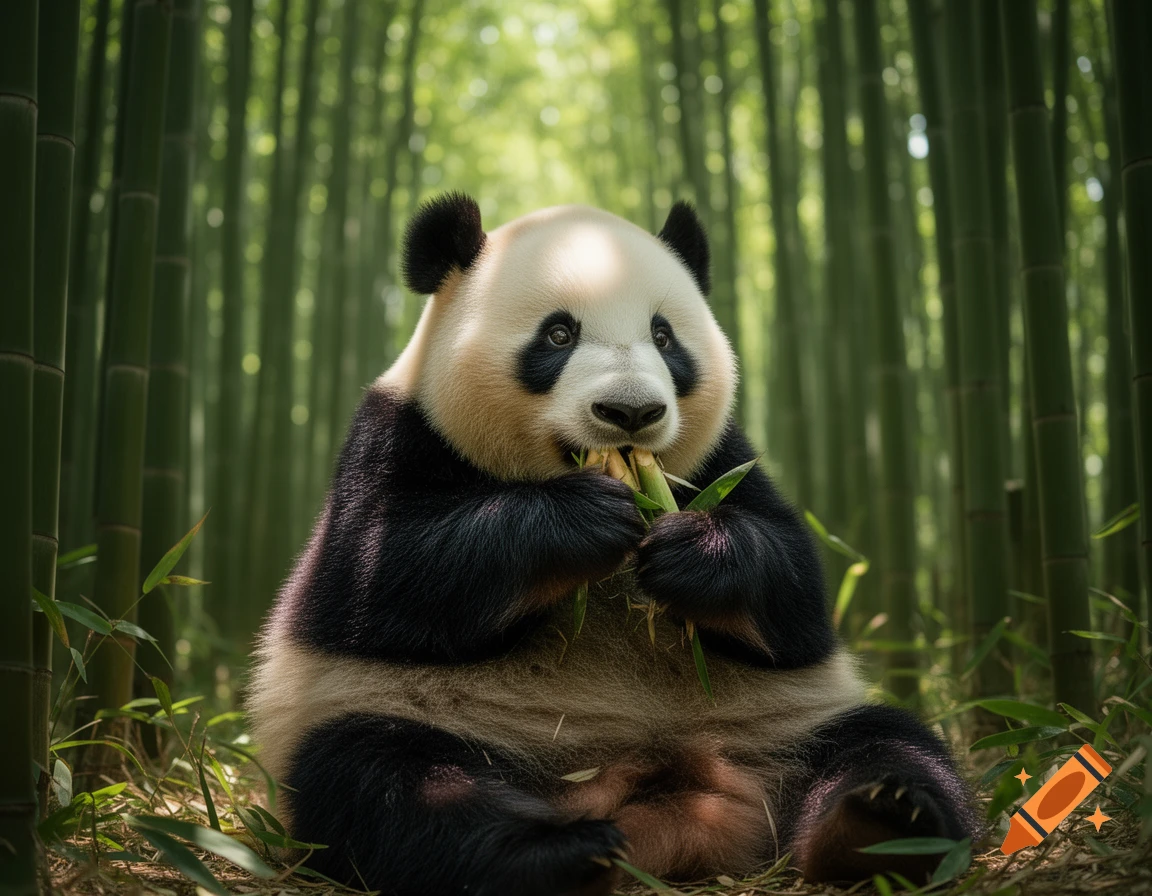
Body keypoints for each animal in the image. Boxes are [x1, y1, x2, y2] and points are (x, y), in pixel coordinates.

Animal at [248, 193, 979, 895]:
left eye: (663, 335)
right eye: (558, 333)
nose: (631, 412)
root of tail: (676, 814)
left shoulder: (720, 459)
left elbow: (793, 595)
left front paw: (695, 551)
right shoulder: (393, 436)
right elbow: (382, 577)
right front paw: (580, 522)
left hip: (787, 725)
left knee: (888, 743)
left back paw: (882, 823)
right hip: (403, 721)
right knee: (389, 785)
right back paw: (558, 855)